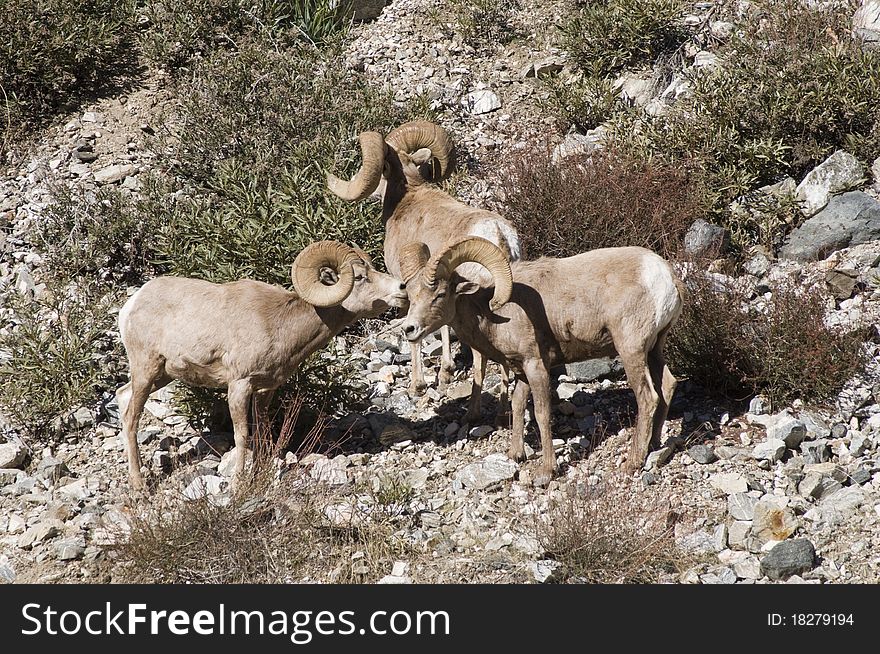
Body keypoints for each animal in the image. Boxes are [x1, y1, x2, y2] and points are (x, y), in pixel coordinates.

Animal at [115, 243, 408, 490]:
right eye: (359, 277)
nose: (403, 289)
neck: (278, 324)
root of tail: (131, 305)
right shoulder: (239, 385)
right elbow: (242, 436)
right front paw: (237, 486)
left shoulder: (265, 390)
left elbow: (263, 432)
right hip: (146, 370)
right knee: (131, 417)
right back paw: (139, 487)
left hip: (161, 376)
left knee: (122, 396)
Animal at [326, 121, 520, 422]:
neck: (407, 198)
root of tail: (499, 236)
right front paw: (445, 374)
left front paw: (419, 385)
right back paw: (501, 412)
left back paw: (473, 413)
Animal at [400, 238, 688, 484]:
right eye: (412, 296)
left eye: (439, 294)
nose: (409, 329)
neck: (492, 314)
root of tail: (666, 277)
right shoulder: (522, 371)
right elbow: (517, 406)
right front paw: (515, 455)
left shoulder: (536, 365)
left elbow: (540, 413)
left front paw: (547, 471)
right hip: (654, 348)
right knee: (668, 385)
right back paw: (654, 445)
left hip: (631, 350)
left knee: (647, 397)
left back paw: (633, 462)